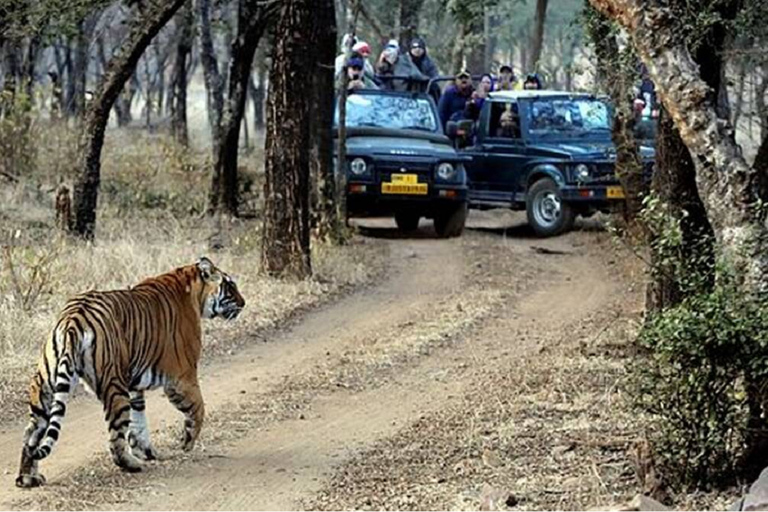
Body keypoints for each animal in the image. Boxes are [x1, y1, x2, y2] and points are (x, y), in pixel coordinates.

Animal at [16, 256, 244, 488]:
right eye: (230, 285)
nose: (243, 303)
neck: (192, 288)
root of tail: (73, 318)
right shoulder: (182, 377)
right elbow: (199, 408)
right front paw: (186, 442)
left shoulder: (135, 384)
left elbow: (139, 420)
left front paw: (147, 450)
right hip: (115, 386)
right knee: (115, 437)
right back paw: (131, 464)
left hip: (45, 385)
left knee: (31, 433)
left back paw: (27, 477)